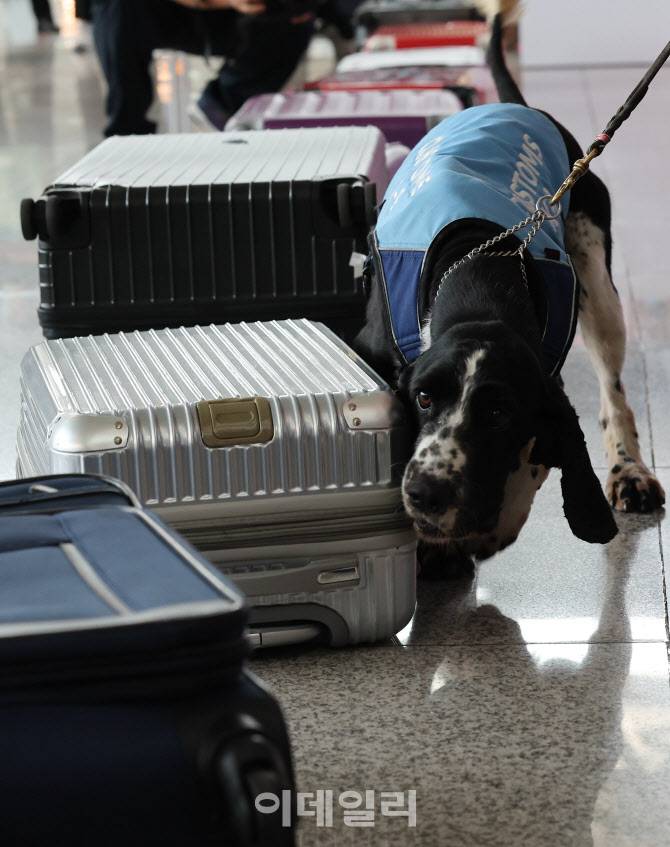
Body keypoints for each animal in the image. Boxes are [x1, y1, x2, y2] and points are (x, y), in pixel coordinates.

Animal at [356, 3, 668, 572]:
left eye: (500, 413)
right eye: (423, 398)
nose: (427, 492)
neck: (478, 276)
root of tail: (511, 103)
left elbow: (537, 457)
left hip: (598, 288)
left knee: (614, 395)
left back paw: (628, 471)